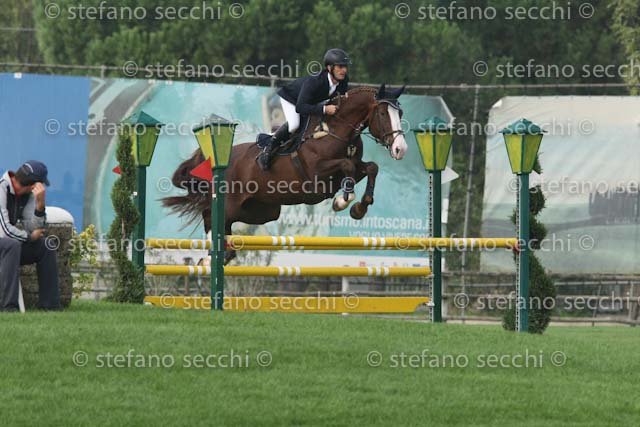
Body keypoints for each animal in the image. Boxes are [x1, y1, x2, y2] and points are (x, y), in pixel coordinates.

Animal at [162, 84, 407, 264]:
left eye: (401, 112)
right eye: (383, 114)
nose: (400, 149)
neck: (336, 130)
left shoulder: (352, 170)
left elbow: (371, 167)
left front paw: (359, 208)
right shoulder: (317, 172)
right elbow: (346, 165)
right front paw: (342, 202)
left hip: (263, 211)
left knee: (227, 223)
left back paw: (224, 253)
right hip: (232, 203)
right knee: (209, 214)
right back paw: (209, 256)